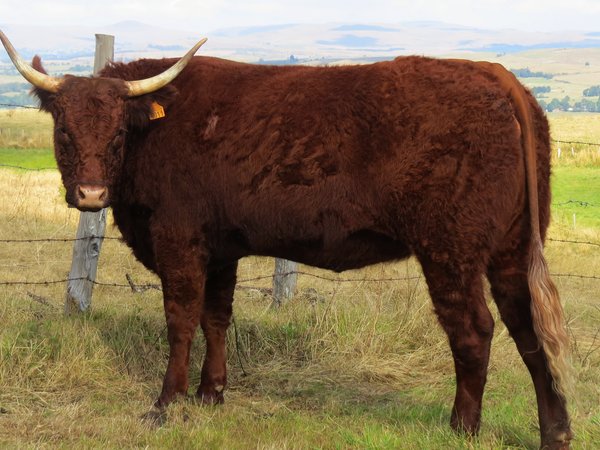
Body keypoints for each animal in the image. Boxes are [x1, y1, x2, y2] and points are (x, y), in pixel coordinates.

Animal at [0, 29, 572, 448]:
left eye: (118, 132)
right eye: (64, 130)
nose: (91, 194)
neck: (159, 128)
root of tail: (492, 73)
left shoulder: (179, 240)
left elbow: (180, 318)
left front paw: (166, 403)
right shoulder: (221, 248)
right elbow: (216, 317)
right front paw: (211, 394)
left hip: (450, 250)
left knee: (475, 330)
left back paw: (462, 428)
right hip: (511, 250)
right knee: (530, 330)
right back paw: (556, 431)